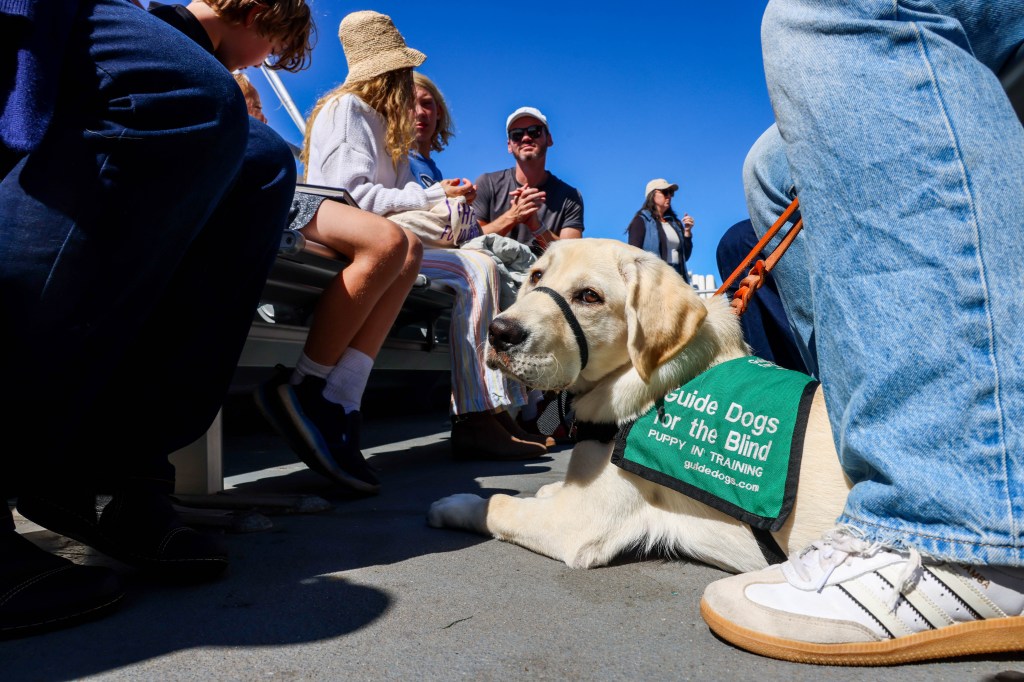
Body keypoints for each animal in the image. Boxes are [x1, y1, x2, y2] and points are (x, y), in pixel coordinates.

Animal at [428, 236, 851, 569]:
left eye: (589, 296)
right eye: (535, 276)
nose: (499, 332)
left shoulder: (576, 520)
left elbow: (500, 504)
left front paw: (456, 505)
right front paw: (548, 488)